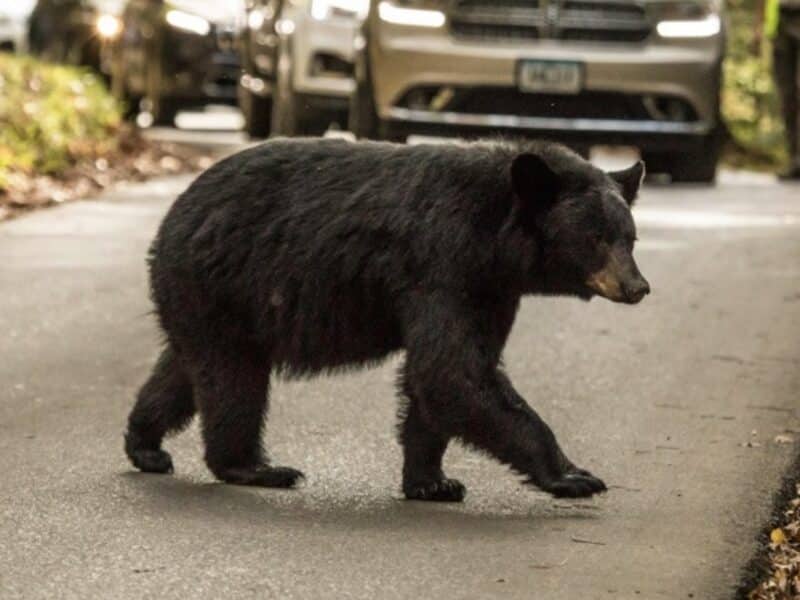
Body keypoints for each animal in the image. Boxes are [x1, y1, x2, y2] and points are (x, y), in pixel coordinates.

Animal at [124, 138, 649, 501]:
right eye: (596, 237)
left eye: (630, 238)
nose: (637, 287)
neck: (493, 235)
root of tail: (170, 219)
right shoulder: (441, 266)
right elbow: (451, 372)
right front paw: (574, 475)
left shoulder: (490, 290)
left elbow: (441, 378)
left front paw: (432, 482)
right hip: (223, 284)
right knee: (234, 380)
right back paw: (257, 468)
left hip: (208, 302)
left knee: (185, 369)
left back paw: (145, 444)